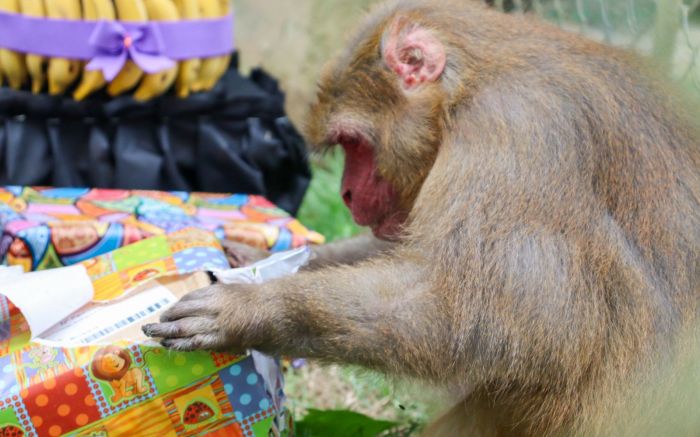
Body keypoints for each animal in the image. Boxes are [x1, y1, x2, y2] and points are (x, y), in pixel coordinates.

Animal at [141, 1, 700, 434]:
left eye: (353, 144)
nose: (345, 194)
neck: (471, 82)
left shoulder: (518, 129)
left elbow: (495, 315)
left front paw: (254, 309)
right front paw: (247, 257)